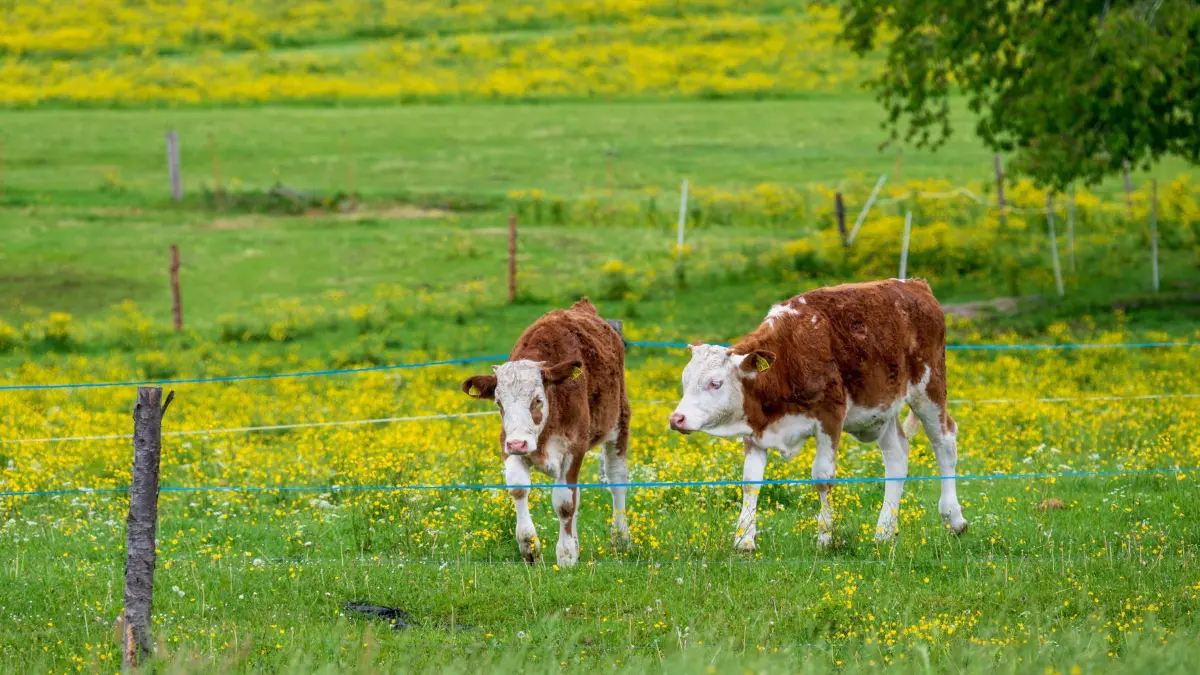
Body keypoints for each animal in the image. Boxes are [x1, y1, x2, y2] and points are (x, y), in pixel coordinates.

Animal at [460, 298, 631, 566]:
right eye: (499, 403)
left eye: (538, 400)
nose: (518, 444)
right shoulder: (507, 443)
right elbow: (519, 488)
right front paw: (530, 548)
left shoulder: (574, 449)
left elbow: (565, 503)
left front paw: (566, 555)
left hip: (618, 423)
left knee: (617, 481)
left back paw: (620, 539)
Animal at [667, 279, 969, 551]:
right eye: (684, 380)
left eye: (715, 383)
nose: (676, 418)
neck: (787, 361)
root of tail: (915, 284)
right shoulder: (756, 428)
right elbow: (750, 482)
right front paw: (744, 540)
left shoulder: (830, 416)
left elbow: (822, 476)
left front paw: (825, 537)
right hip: (883, 406)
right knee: (897, 456)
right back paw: (883, 532)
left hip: (928, 389)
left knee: (944, 443)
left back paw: (953, 518)